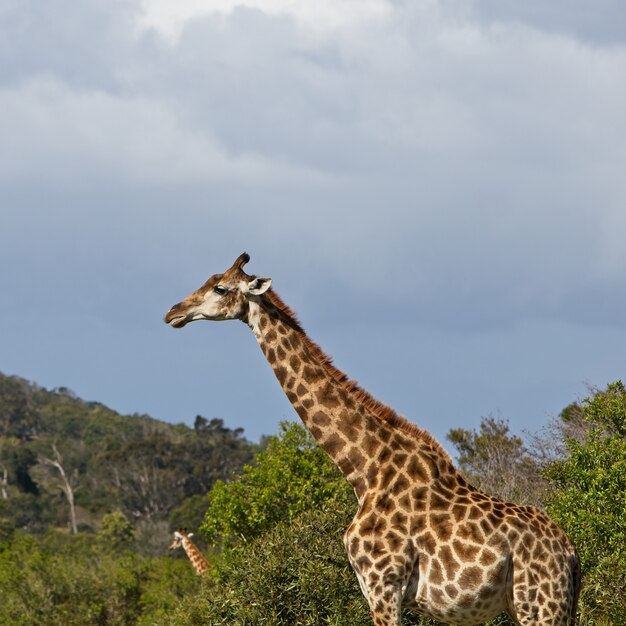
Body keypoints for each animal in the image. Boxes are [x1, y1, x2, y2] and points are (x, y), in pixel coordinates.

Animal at [163, 254, 576, 624]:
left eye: (220, 288)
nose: (173, 312)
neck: (364, 469)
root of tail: (571, 556)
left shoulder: (383, 584)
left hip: (538, 606)